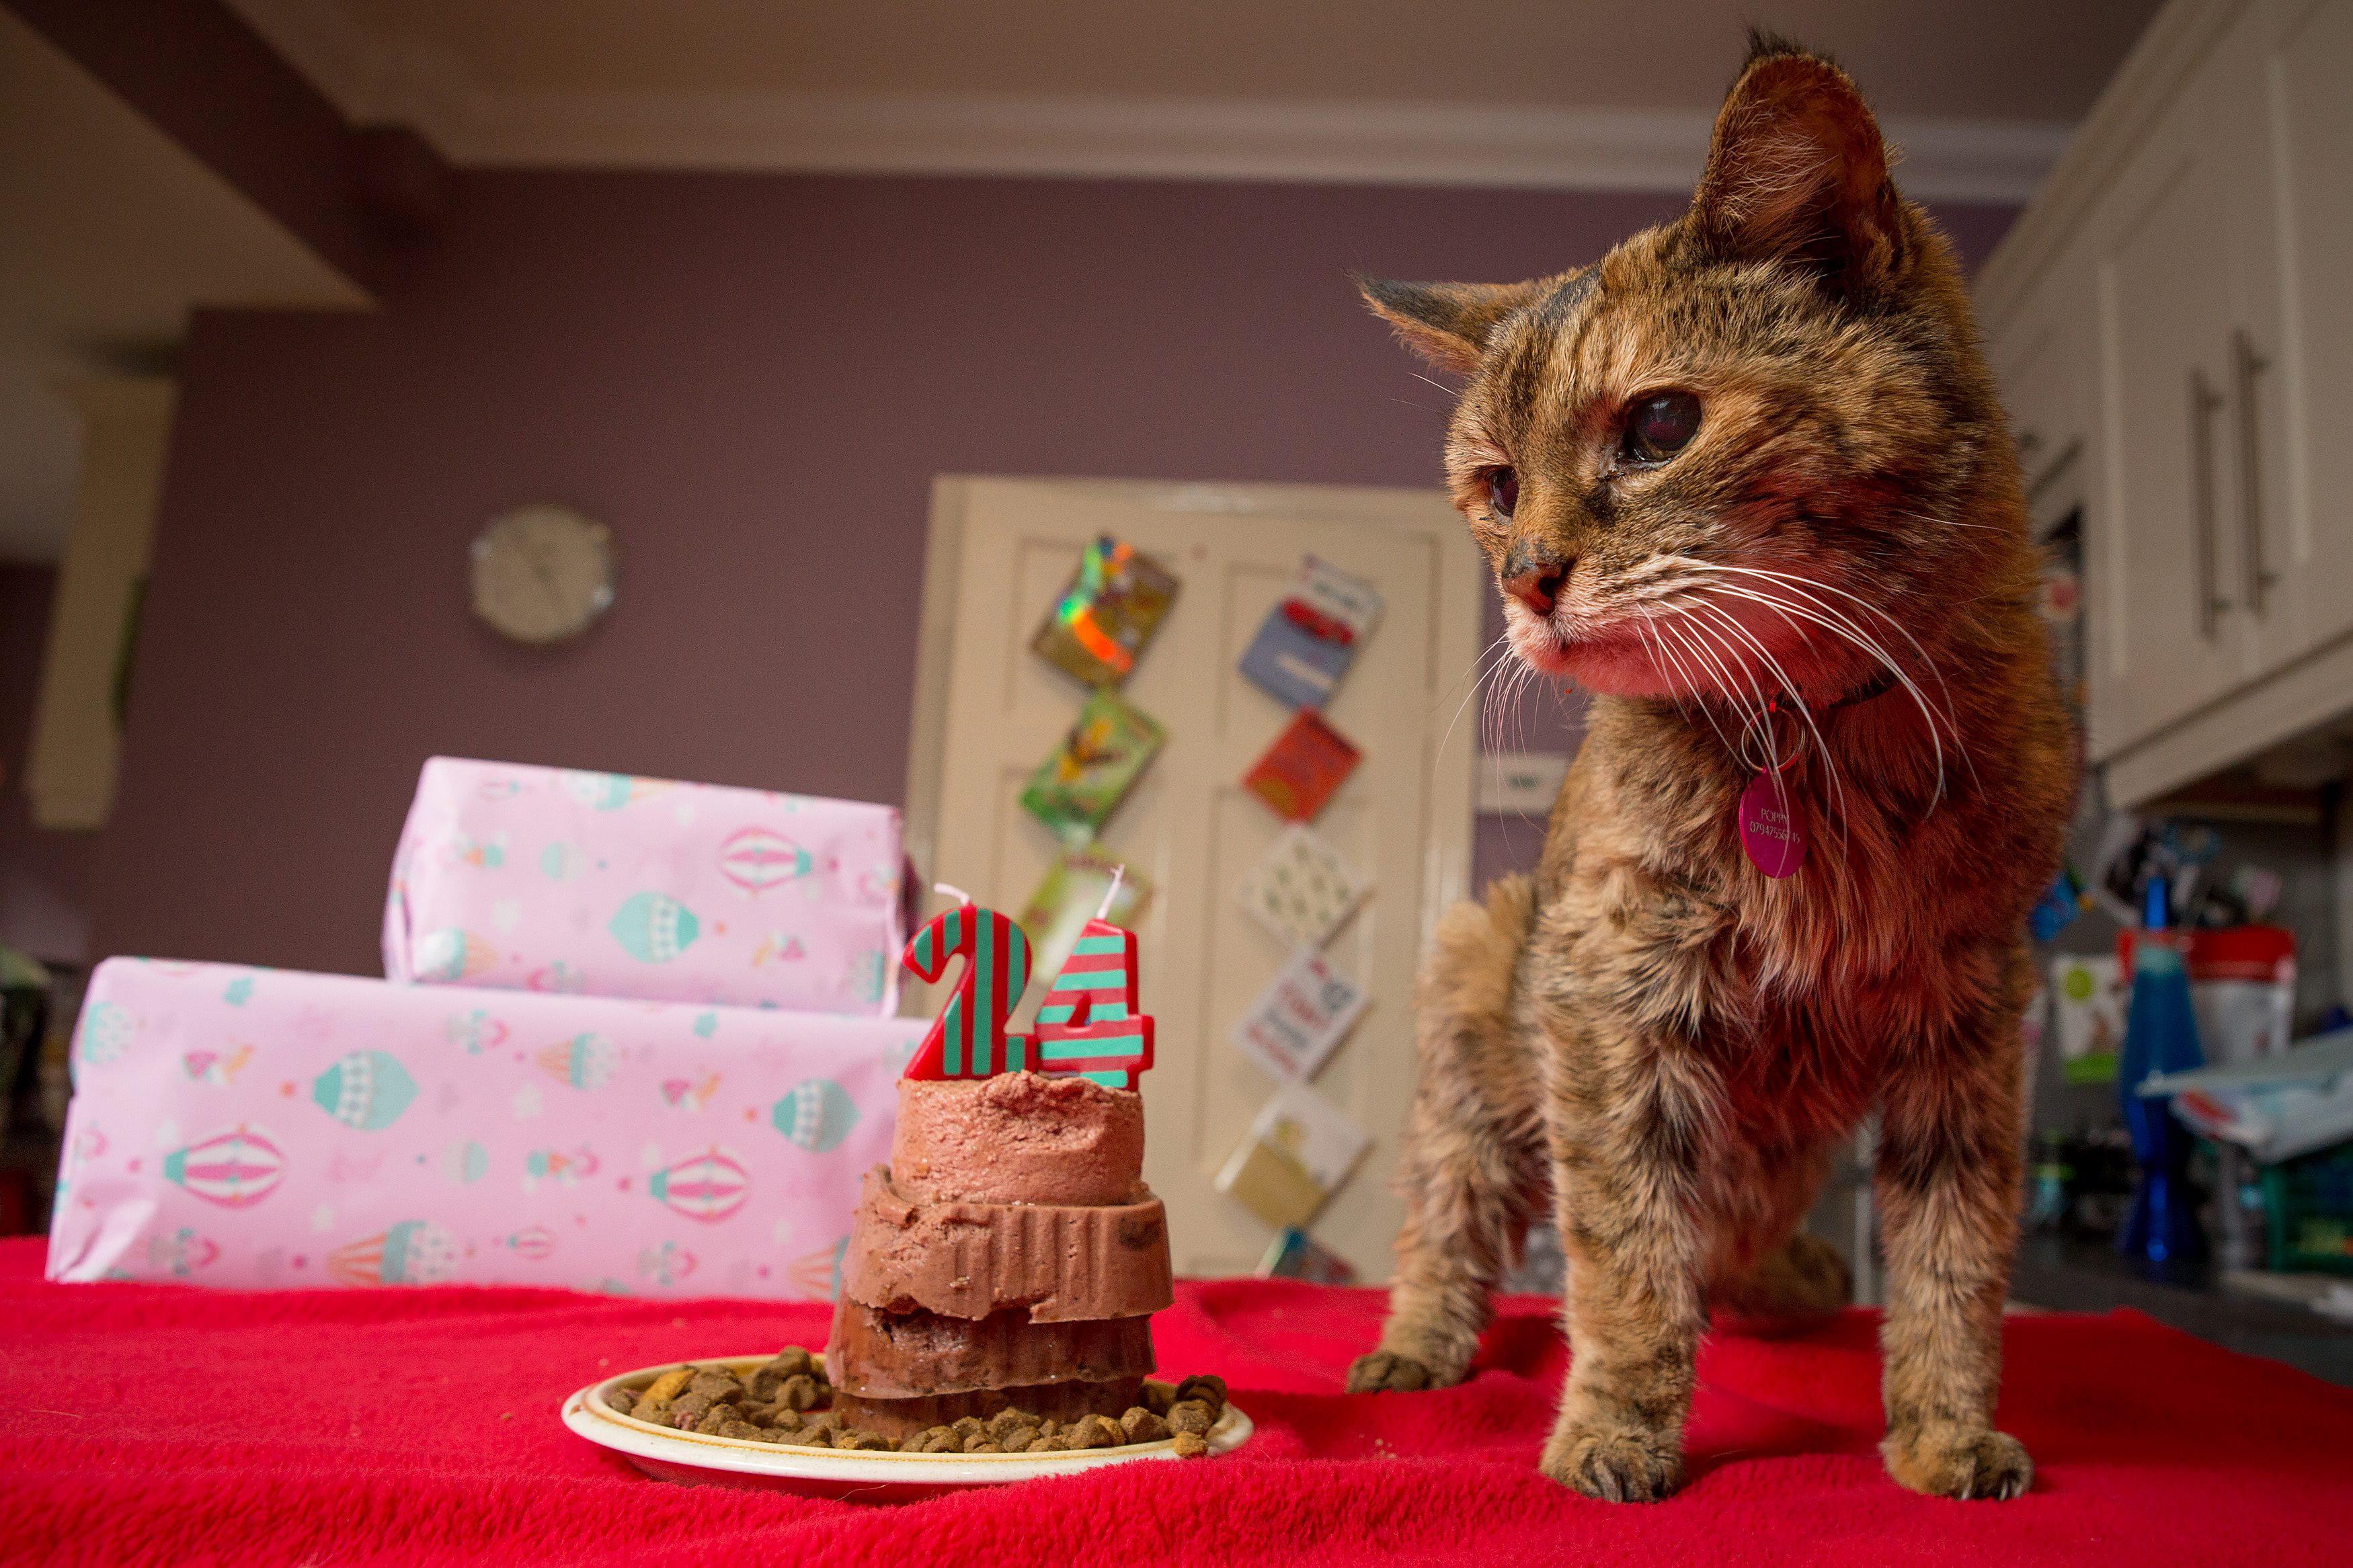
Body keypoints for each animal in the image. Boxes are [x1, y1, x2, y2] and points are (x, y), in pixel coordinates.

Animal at [1346, 40, 2080, 1504]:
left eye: (1660, 424)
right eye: (1495, 486)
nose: (1527, 577)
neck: (1815, 741)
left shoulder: (1973, 1022)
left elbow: (1955, 1258)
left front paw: (1942, 1428)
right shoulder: (1612, 1001)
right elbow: (1625, 1252)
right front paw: (1617, 1425)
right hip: (1474, 992)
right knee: (1451, 1210)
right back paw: (1421, 1341)